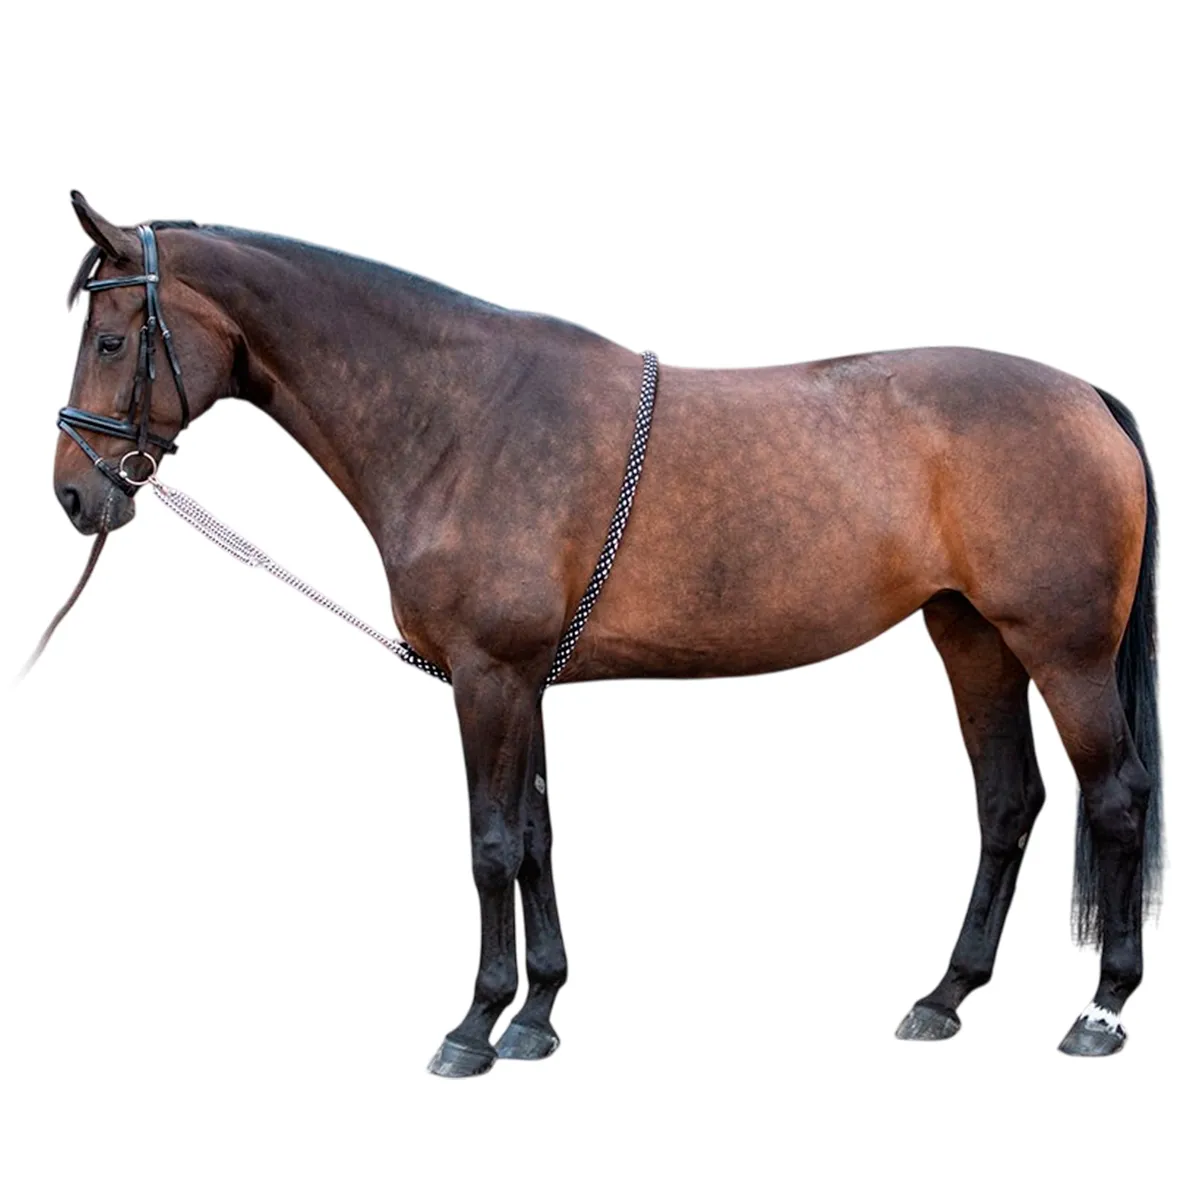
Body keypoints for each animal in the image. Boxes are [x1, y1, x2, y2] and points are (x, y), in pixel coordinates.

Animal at [51, 192, 1161, 1074]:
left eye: (111, 340)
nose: (73, 494)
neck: (460, 415)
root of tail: (1086, 395)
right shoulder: (522, 679)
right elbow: (538, 837)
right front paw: (537, 1015)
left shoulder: (488, 677)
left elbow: (491, 843)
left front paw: (473, 1026)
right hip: (972, 636)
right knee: (1008, 802)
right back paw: (944, 997)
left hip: (1064, 652)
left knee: (1115, 798)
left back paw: (1101, 1010)